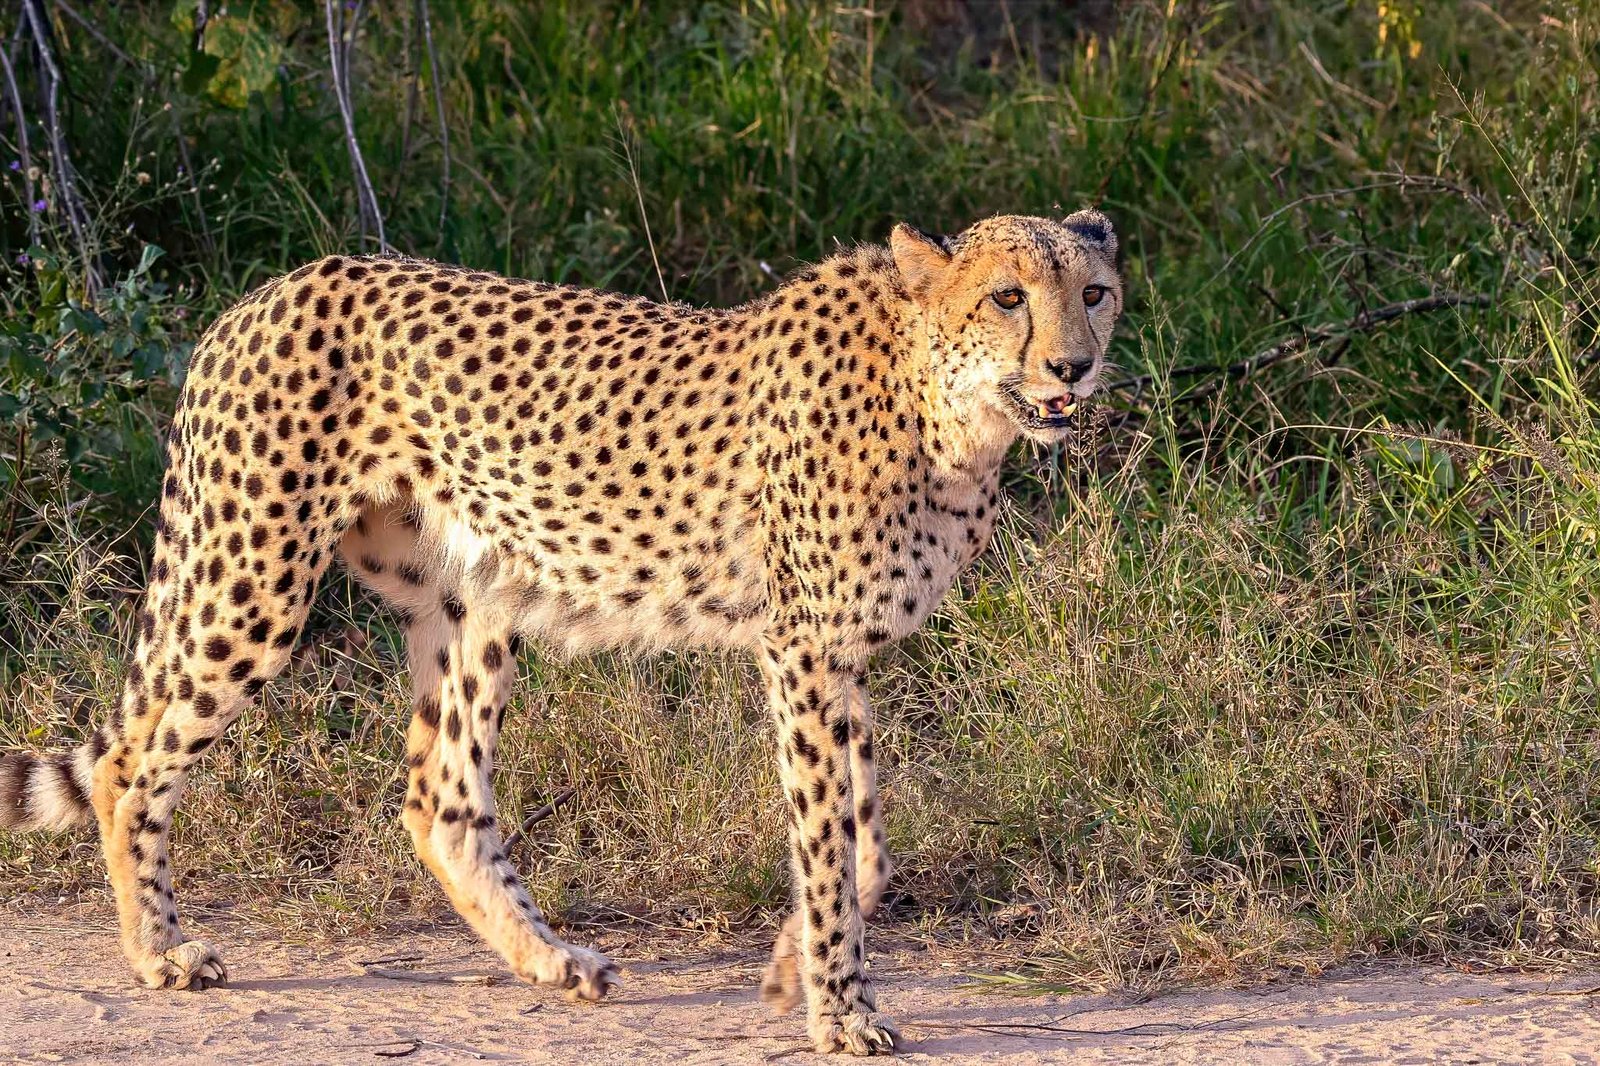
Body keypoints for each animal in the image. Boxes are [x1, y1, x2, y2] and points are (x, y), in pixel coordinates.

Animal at [0, 210, 1122, 1055]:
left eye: (1095, 293)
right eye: (1008, 296)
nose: (1074, 366)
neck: (949, 412)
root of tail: (267, 292)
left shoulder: (842, 659)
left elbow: (868, 838)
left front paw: (789, 964)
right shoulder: (800, 651)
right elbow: (826, 839)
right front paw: (839, 1009)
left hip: (471, 600)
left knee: (439, 798)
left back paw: (550, 959)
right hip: (252, 578)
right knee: (132, 760)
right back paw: (158, 951)